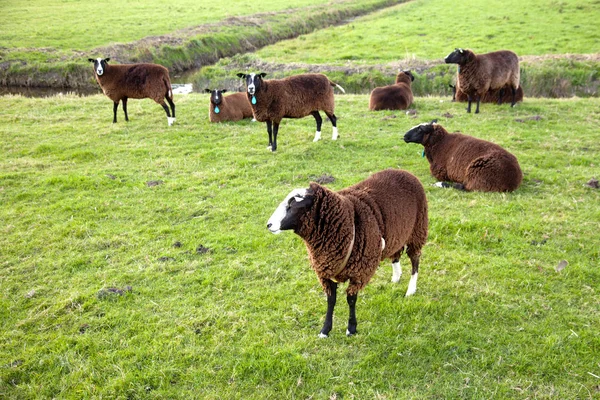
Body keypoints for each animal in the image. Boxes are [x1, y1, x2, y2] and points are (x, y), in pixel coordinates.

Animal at [266, 169, 426, 338]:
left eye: (293, 204)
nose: (269, 224)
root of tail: (403, 171)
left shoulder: (359, 273)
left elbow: (351, 299)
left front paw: (351, 328)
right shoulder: (326, 272)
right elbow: (331, 300)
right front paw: (325, 330)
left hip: (417, 230)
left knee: (415, 261)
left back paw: (411, 289)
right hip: (397, 234)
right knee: (395, 255)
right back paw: (396, 277)